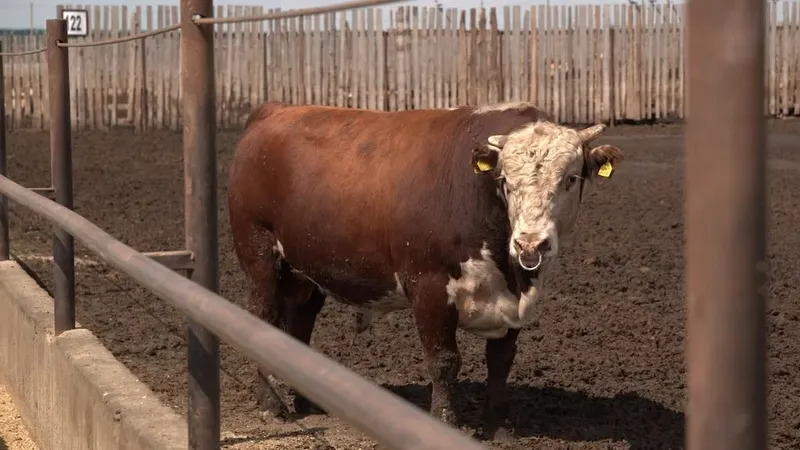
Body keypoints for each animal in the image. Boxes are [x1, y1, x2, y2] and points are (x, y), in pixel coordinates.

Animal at [227, 100, 623, 439]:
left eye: (570, 179)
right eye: (506, 182)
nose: (530, 244)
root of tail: (274, 109)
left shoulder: (514, 299)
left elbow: (501, 361)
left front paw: (500, 427)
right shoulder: (429, 287)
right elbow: (444, 361)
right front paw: (445, 423)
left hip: (305, 271)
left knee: (299, 324)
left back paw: (307, 400)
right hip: (259, 254)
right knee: (262, 317)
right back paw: (271, 404)